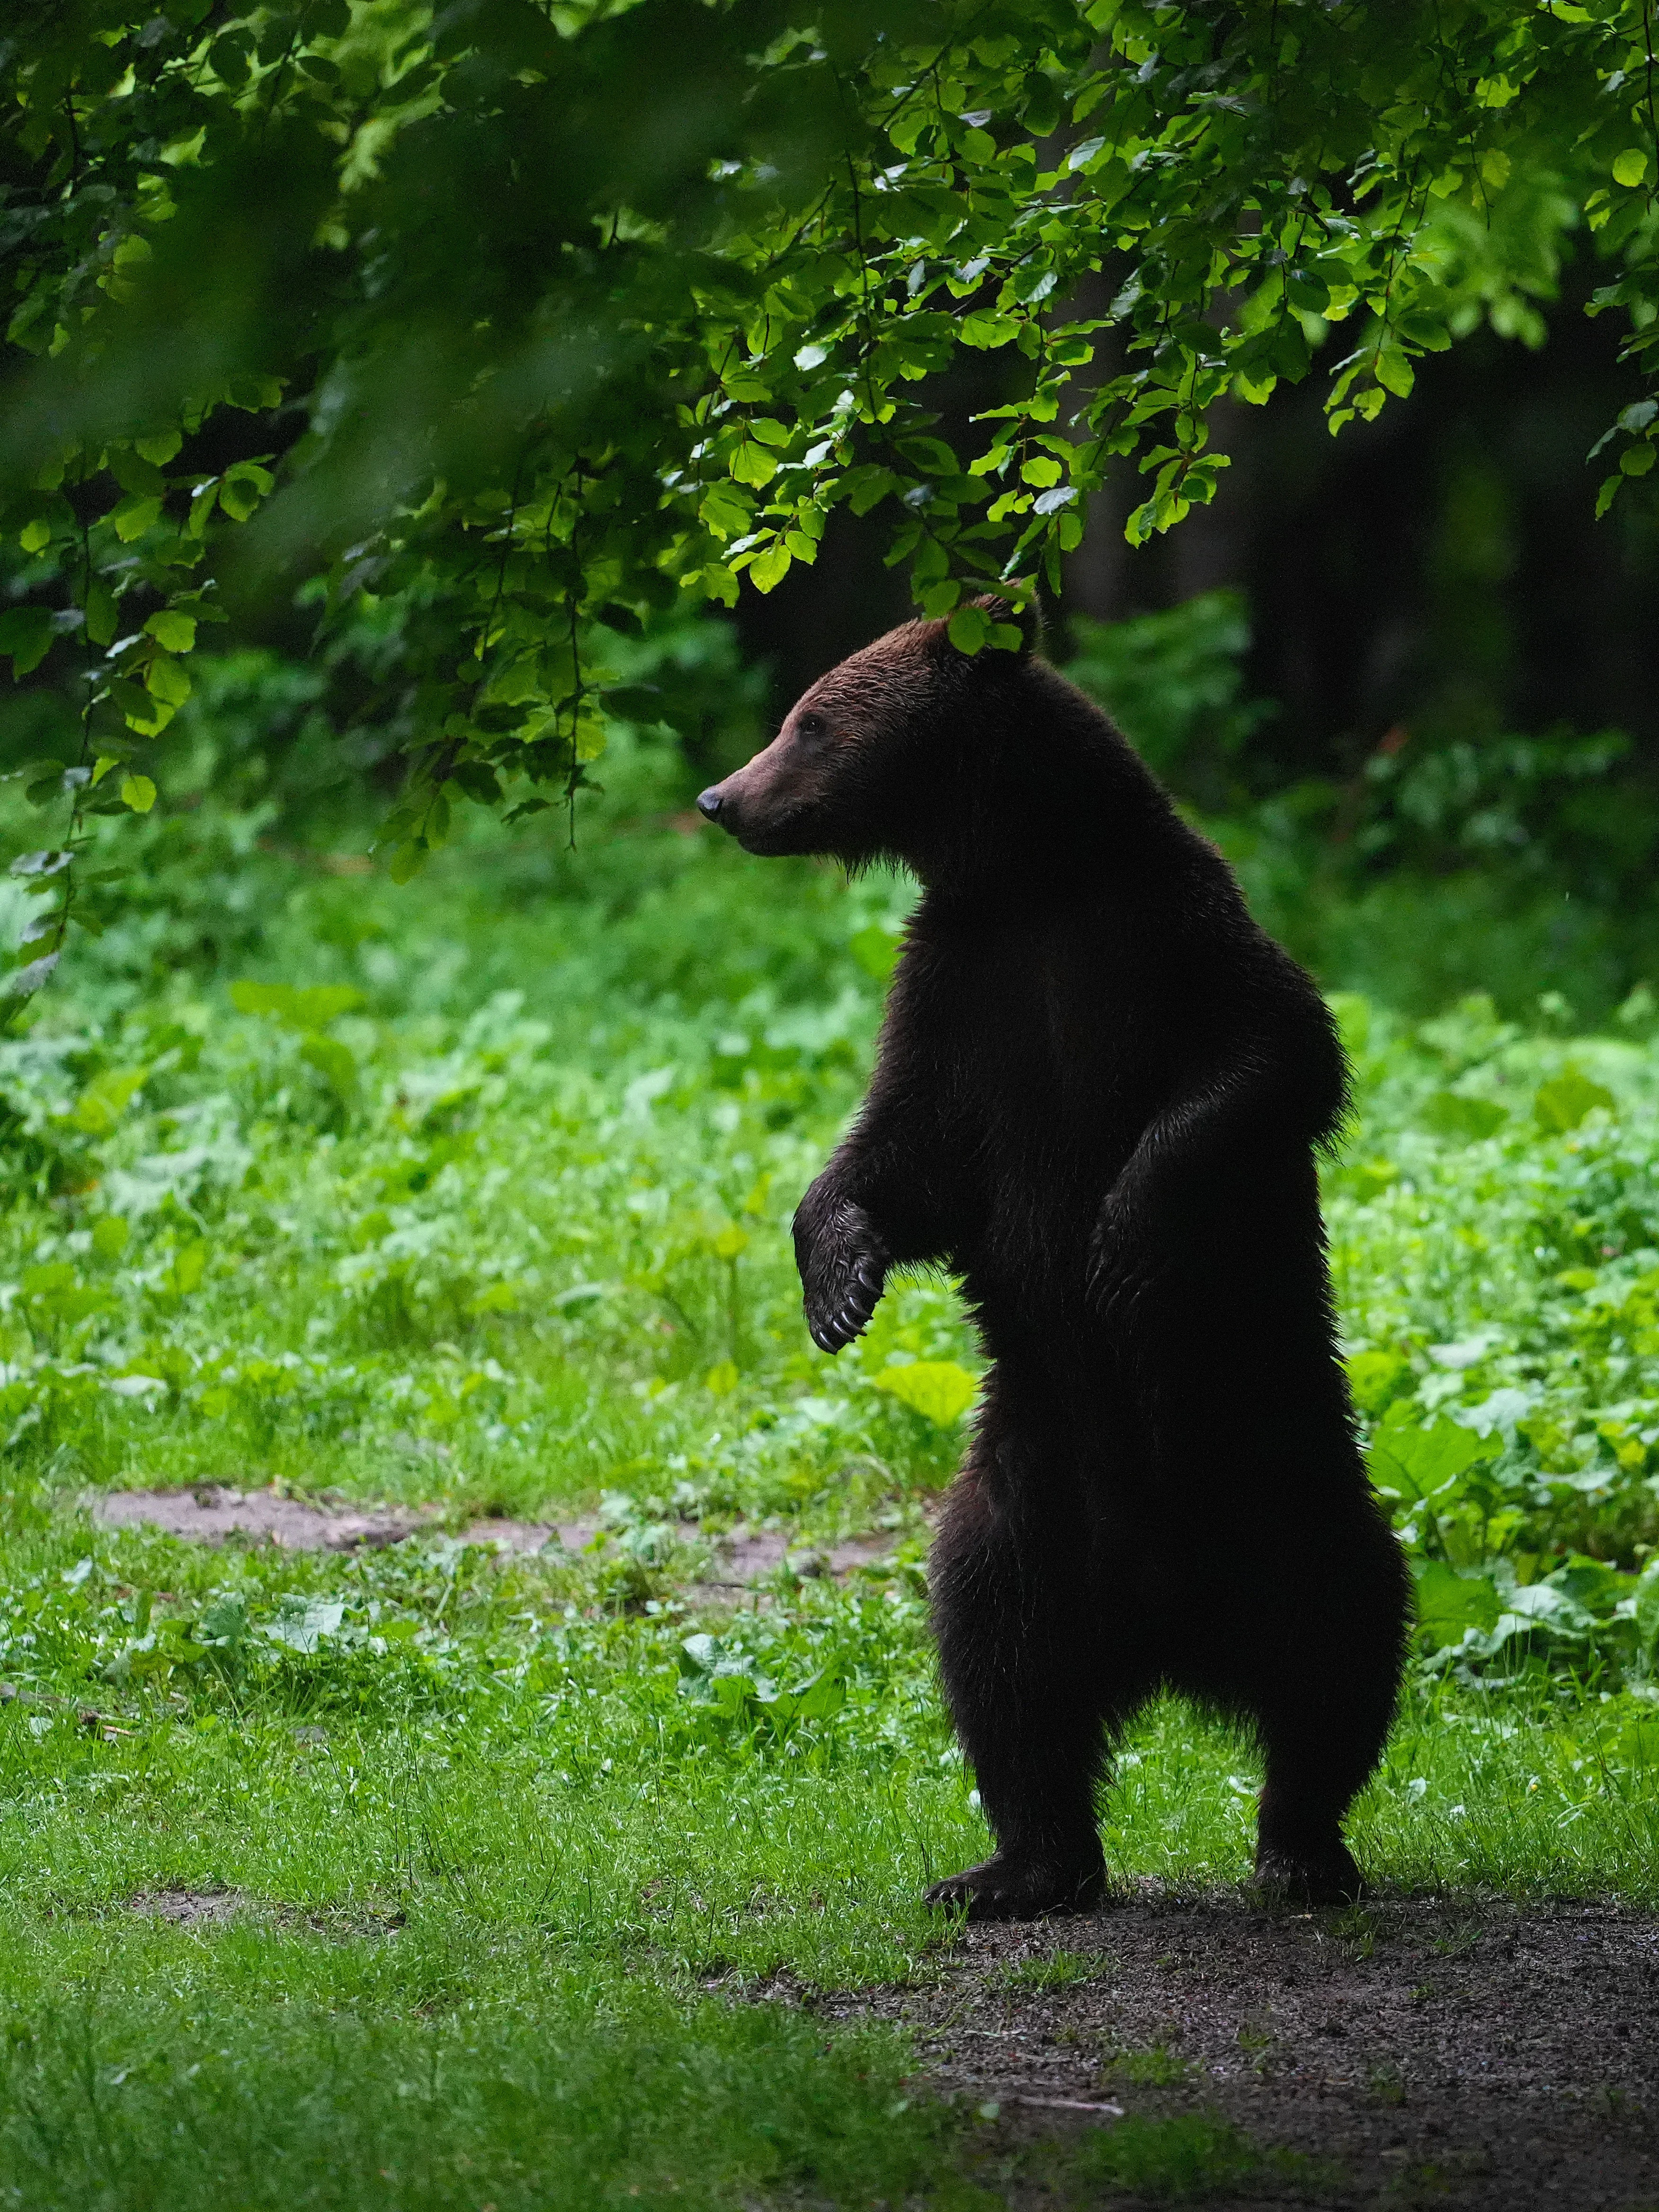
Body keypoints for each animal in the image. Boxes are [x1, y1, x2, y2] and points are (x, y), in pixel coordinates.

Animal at [695, 600, 1410, 1921]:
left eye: (810, 720)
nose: (721, 796)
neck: (1026, 874)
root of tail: (1170, 1635)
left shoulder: (1169, 934)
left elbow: (1269, 1057)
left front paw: (1126, 1234)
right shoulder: (956, 990)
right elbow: (902, 1151)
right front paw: (838, 1282)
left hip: (1281, 1473)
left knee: (1341, 1636)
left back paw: (1300, 1843)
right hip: (1024, 1505)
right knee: (997, 1661)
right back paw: (1015, 1863)